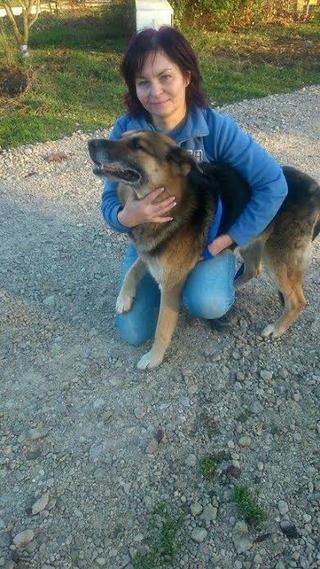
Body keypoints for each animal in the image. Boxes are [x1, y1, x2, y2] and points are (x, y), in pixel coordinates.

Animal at [87, 129, 320, 368]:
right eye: (122, 136)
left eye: (137, 145)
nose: (91, 144)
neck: (171, 198)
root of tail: (315, 188)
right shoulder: (151, 250)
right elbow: (133, 269)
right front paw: (124, 298)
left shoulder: (171, 285)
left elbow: (162, 328)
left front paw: (153, 358)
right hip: (251, 241)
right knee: (253, 270)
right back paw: (233, 287)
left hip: (278, 259)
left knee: (297, 301)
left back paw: (277, 328)